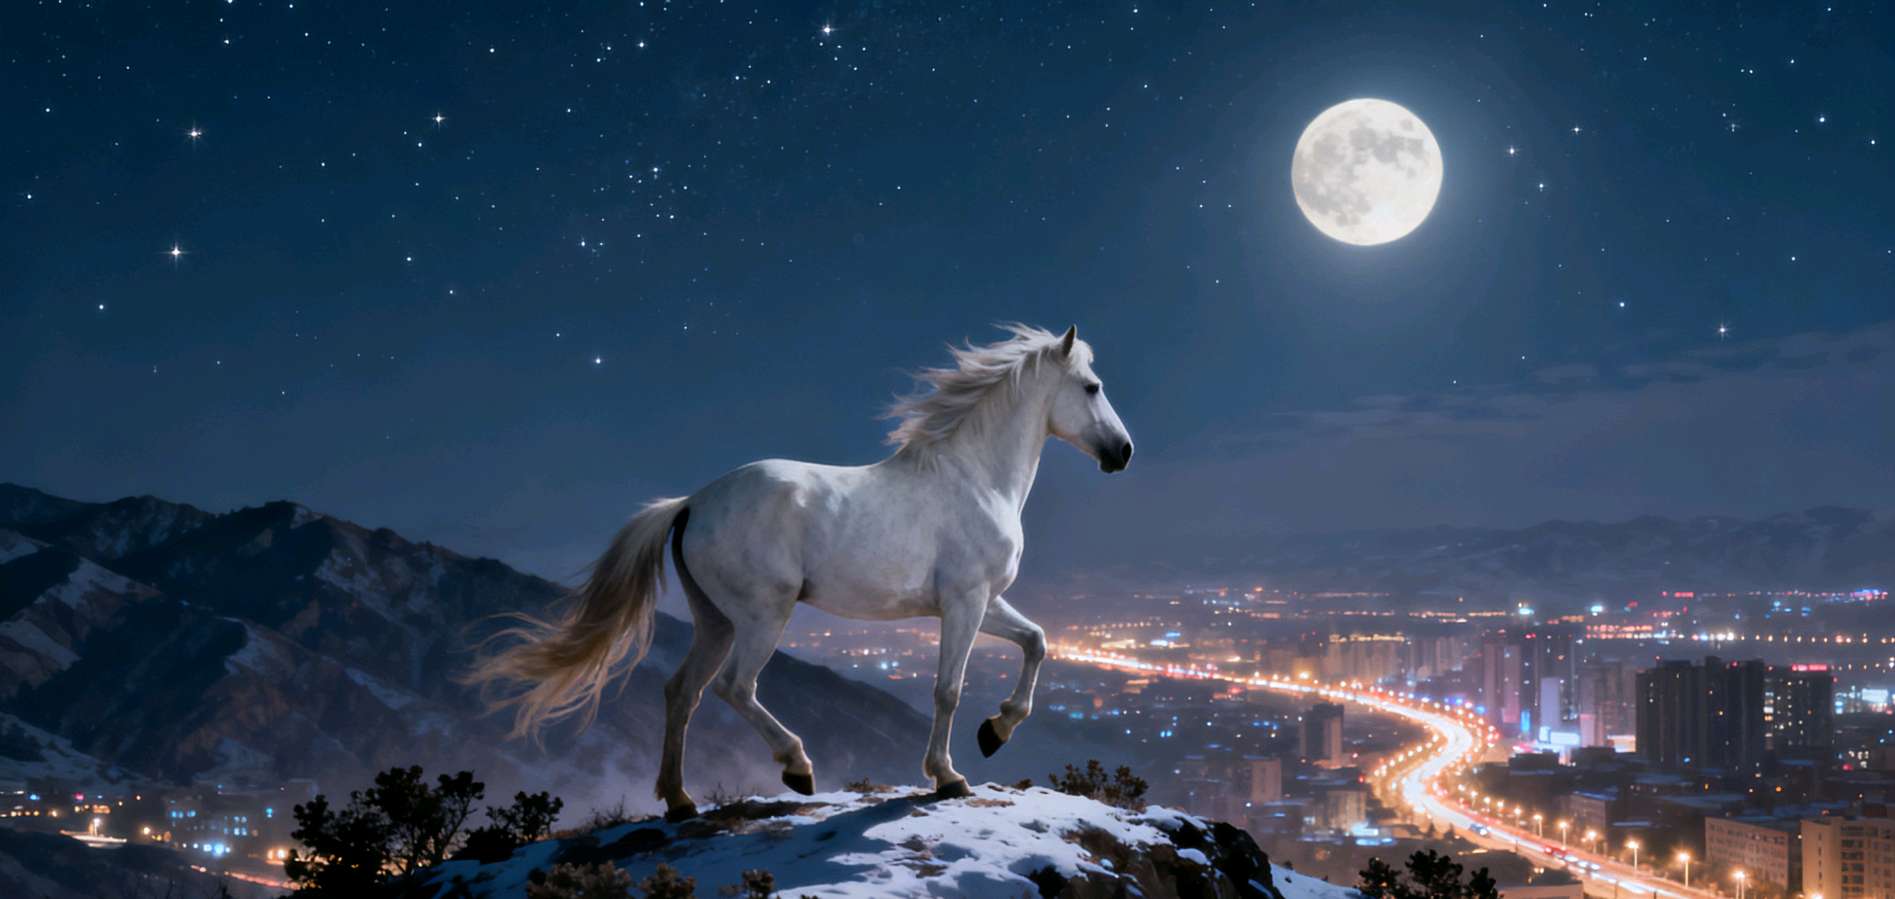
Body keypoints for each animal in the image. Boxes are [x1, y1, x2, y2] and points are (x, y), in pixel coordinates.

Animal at [464, 324, 1134, 820]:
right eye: (1092, 386)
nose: (1123, 453)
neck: (975, 478)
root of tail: (692, 502)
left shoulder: (984, 602)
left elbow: (1037, 642)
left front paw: (996, 731)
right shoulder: (964, 603)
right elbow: (948, 688)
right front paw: (949, 775)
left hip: (716, 620)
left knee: (683, 690)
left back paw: (680, 800)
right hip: (765, 614)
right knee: (735, 688)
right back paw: (797, 768)